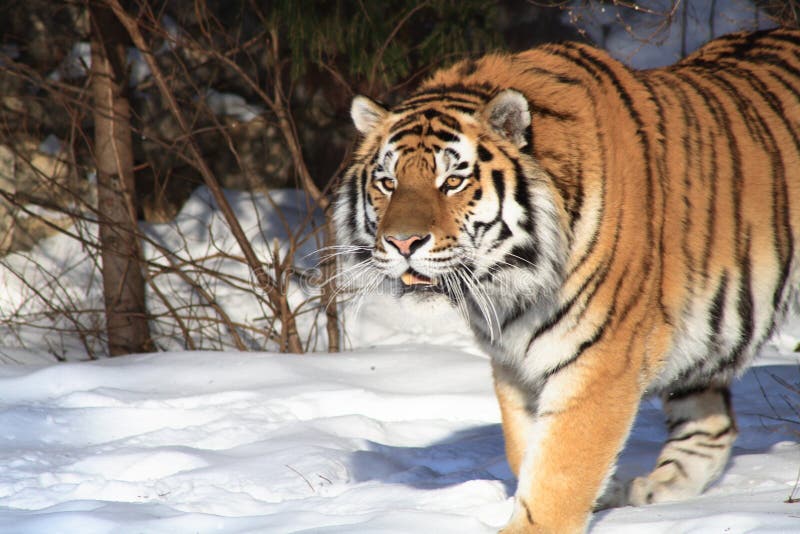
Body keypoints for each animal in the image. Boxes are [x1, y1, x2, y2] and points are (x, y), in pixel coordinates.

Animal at [332, 30, 800, 534]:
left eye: (453, 181)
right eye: (387, 182)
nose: (403, 242)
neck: (509, 283)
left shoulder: (602, 360)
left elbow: (560, 471)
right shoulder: (513, 365)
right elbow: (526, 453)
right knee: (711, 427)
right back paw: (649, 493)